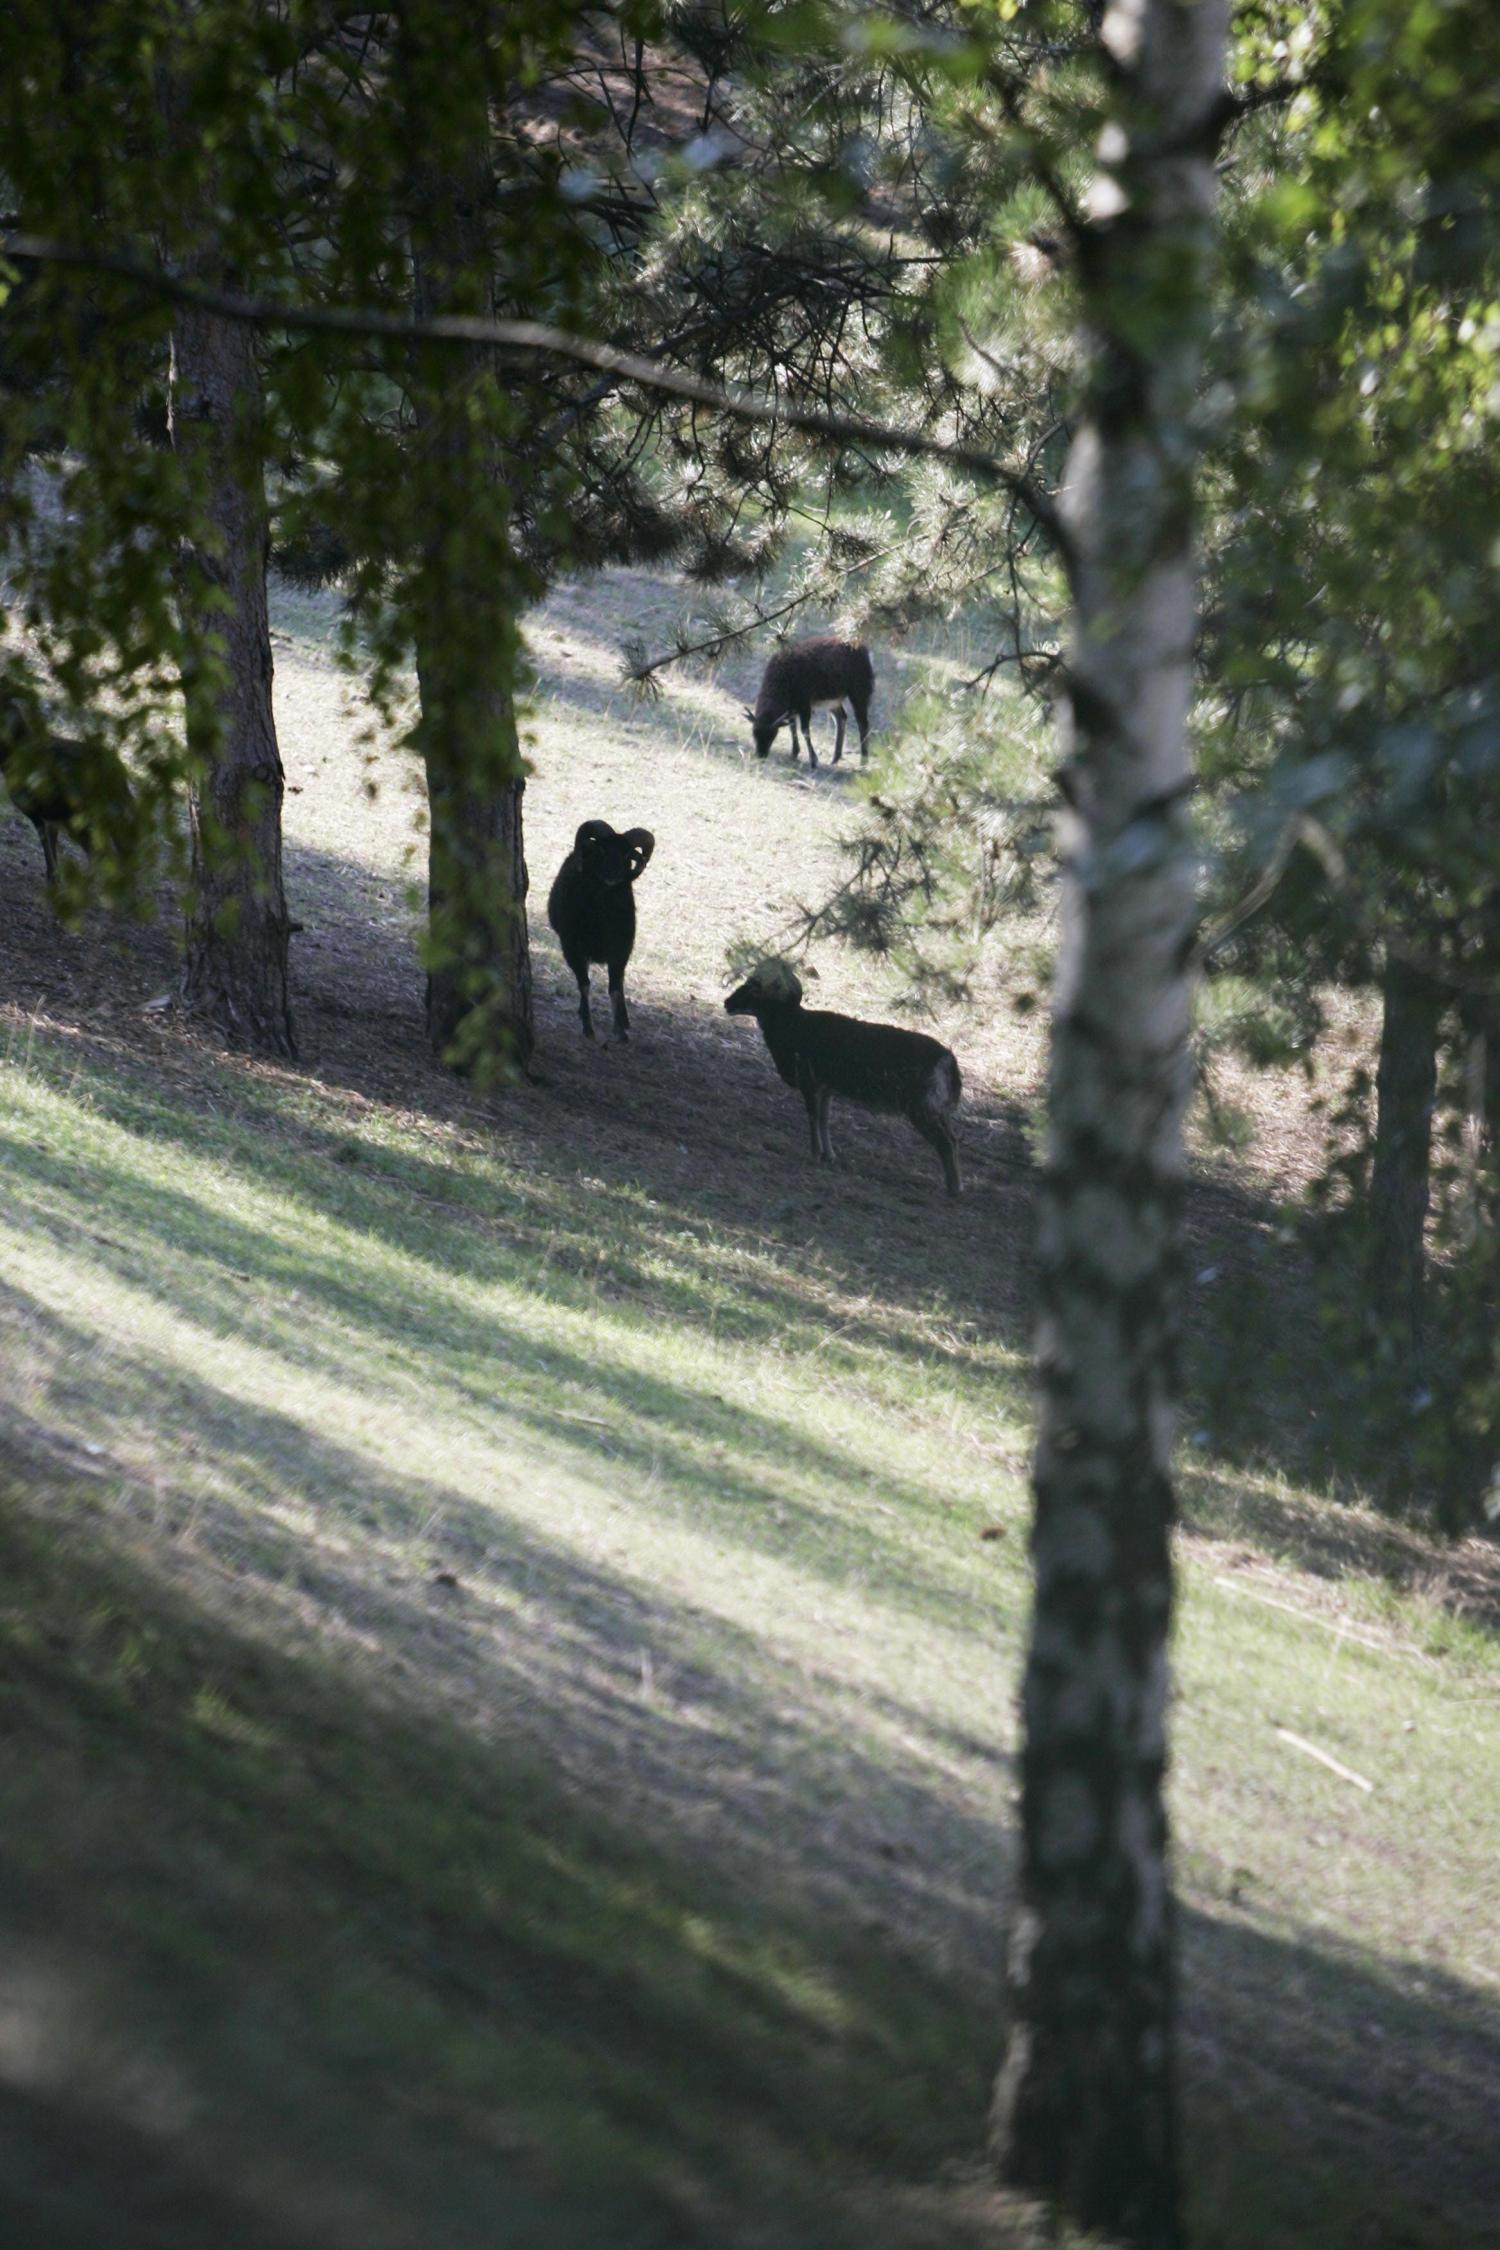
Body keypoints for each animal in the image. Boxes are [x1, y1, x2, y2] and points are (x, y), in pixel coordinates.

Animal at [546, 823, 652, 1039]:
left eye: (627, 854)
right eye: (602, 850)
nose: (612, 875)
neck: (601, 919)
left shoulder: (620, 952)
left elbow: (615, 989)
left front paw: (620, 1030)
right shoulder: (573, 950)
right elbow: (584, 985)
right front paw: (588, 1028)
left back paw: (624, 1020)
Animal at [724, 954, 962, 1197]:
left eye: (755, 989)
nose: (727, 1003)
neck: (792, 1025)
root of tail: (948, 1061)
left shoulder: (810, 1083)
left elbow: (813, 1117)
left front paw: (815, 1153)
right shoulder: (826, 1089)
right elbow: (824, 1119)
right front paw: (829, 1155)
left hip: (922, 1108)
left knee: (945, 1143)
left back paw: (954, 1189)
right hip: (938, 1109)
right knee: (953, 1140)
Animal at [746, 639, 872, 769]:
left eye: (772, 734)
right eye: (754, 732)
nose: (760, 755)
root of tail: (863, 648)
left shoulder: (805, 704)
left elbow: (805, 730)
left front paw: (813, 760)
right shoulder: (792, 707)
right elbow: (792, 727)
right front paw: (794, 752)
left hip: (860, 691)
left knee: (863, 723)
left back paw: (863, 760)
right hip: (833, 700)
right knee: (841, 717)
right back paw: (835, 758)